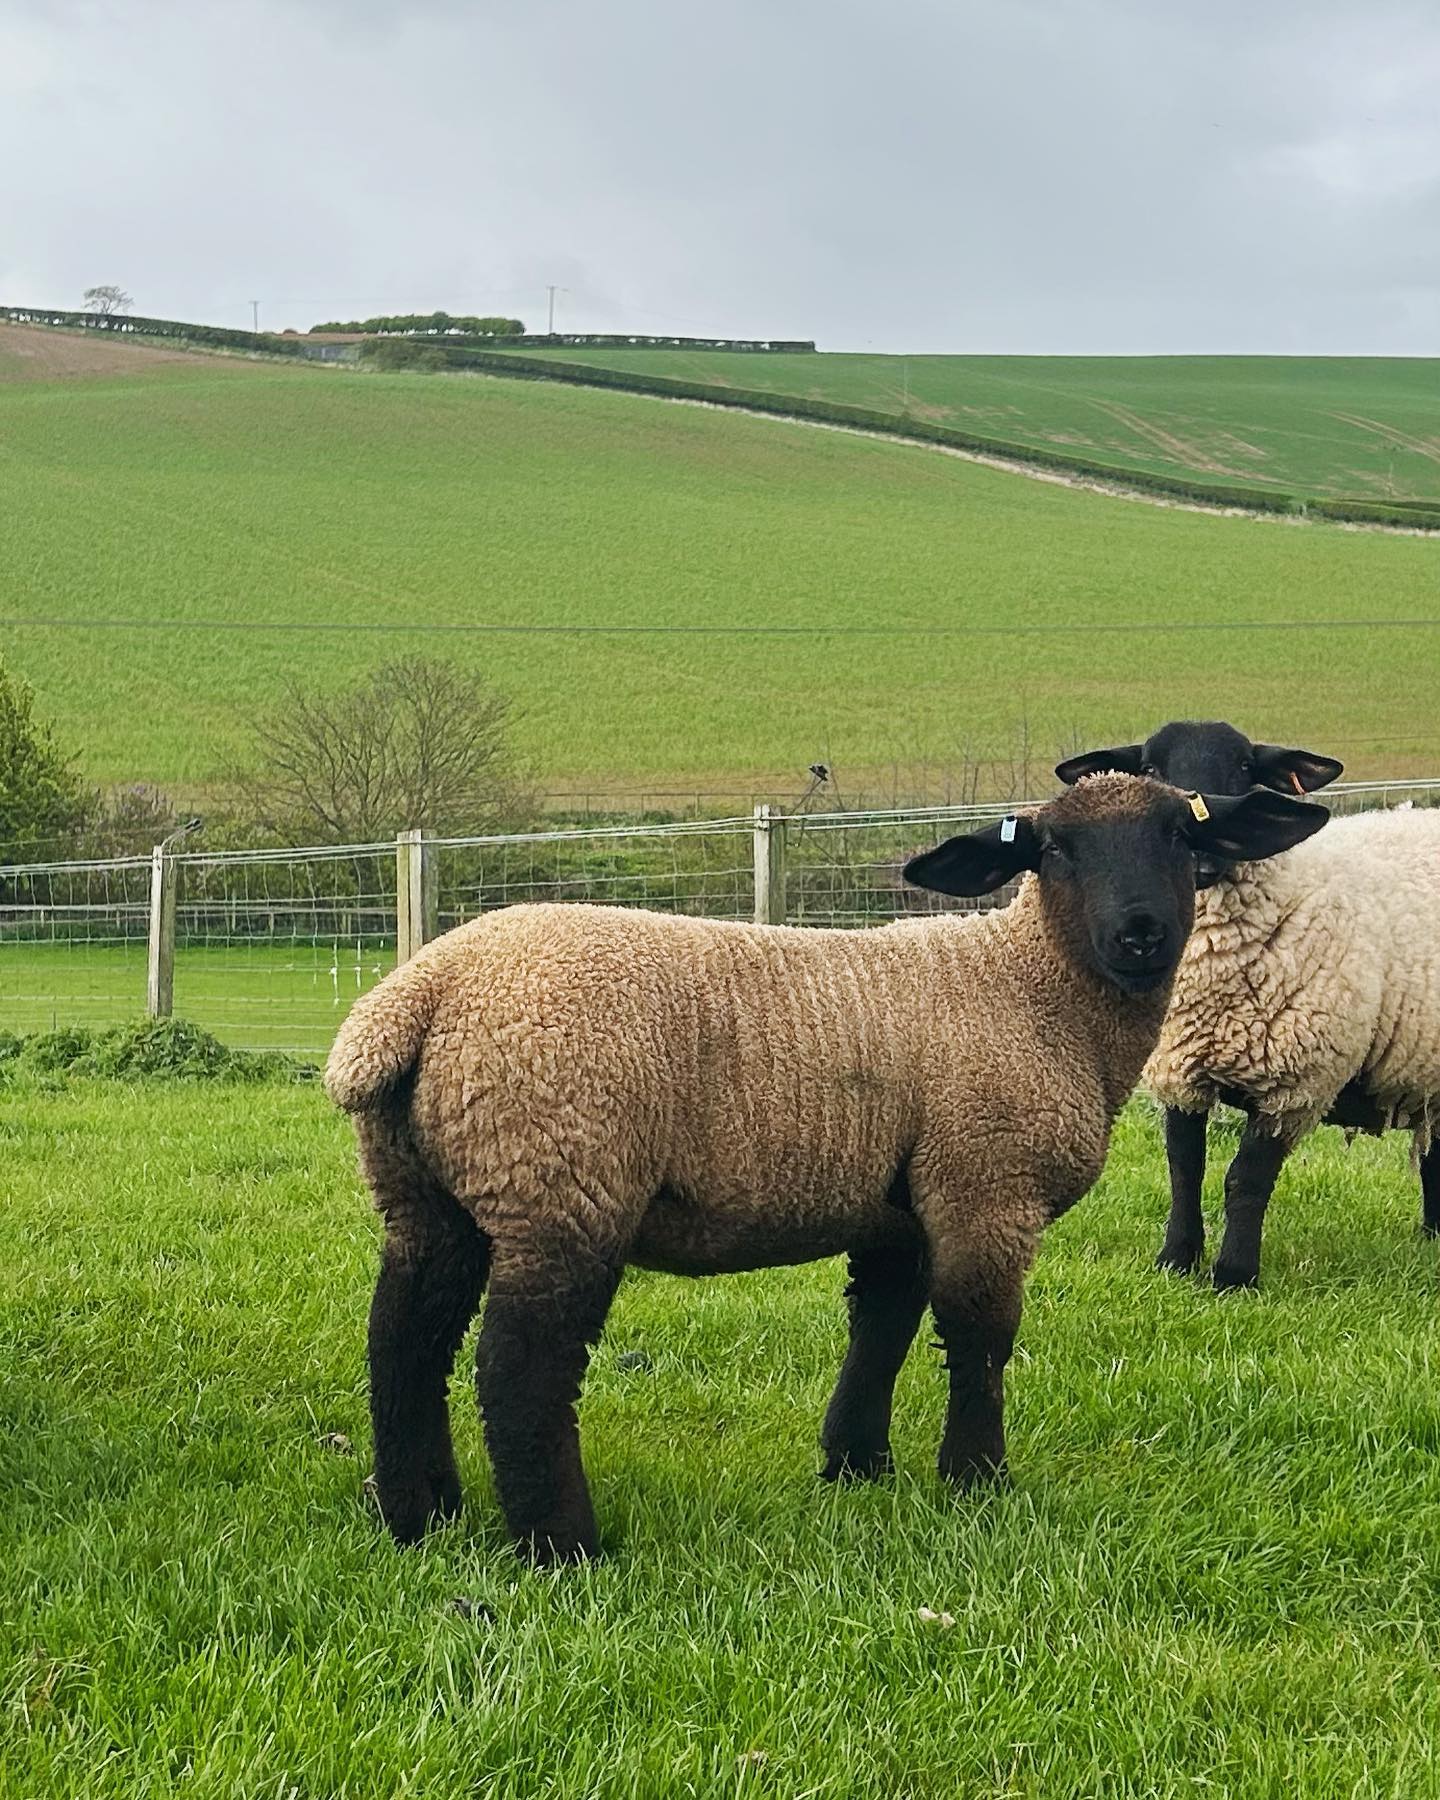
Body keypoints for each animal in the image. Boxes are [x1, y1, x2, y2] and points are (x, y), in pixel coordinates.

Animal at [324, 774, 1323, 1561]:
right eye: (1054, 850)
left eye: (1181, 836)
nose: (1143, 933)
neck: (1036, 991)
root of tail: (417, 998)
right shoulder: (986, 1183)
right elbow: (981, 1335)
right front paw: (978, 1481)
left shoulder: (904, 1208)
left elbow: (881, 1329)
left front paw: (858, 1467)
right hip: (563, 1177)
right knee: (518, 1365)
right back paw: (562, 1546)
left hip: (430, 1193)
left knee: (404, 1339)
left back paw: (420, 1517)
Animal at [1058, 719, 1440, 1289]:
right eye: (1149, 767)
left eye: (1243, 767)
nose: (1199, 856)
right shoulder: (1180, 1068)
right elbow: (1183, 1167)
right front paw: (1175, 1260)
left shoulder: (1294, 1080)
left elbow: (1246, 1179)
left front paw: (1234, 1276)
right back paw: (1432, 1236)